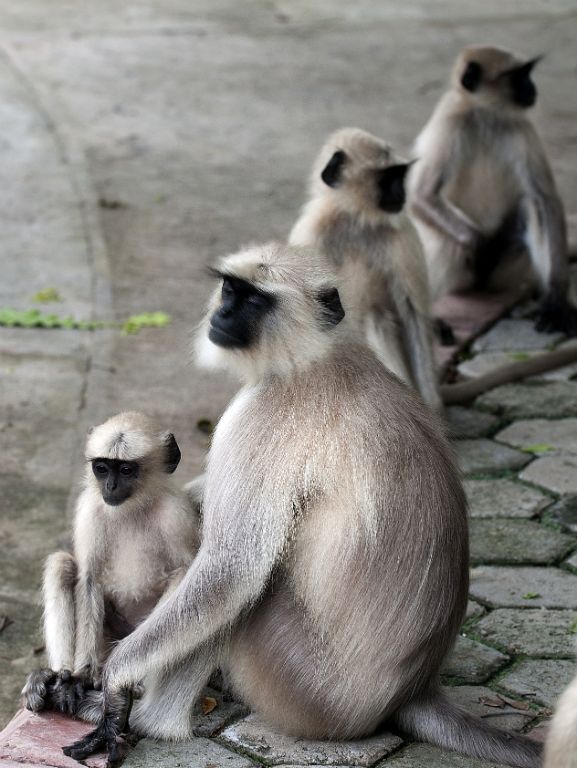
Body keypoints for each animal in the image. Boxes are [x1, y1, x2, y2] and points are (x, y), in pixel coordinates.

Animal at [22, 414, 199, 720]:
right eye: (102, 469)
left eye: (126, 470)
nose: (110, 487)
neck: (132, 508)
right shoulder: (90, 508)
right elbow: (89, 578)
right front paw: (81, 676)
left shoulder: (175, 514)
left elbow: (184, 577)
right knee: (61, 563)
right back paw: (58, 676)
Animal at [66, 242, 540, 768]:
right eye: (230, 289)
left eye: (254, 300)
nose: (222, 314)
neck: (314, 355)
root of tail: (413, 689)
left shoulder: (263, 415)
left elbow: (232, 569)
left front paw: (114, 680)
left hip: (305, 690)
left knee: (242, 591)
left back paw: (150, 719)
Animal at [288, 130, 440, 414]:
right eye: (388, 179)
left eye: (400, 176)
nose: (402, 192)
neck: (356, 219)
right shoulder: (311, 232)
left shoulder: (400, 235)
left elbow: (413, 315)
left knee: (378, 318)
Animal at [408, 44, 576, 336]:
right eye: (519, 77)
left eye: (527, 74)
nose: (531, 88)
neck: (487, 114)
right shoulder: (450, 121)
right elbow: (421, 195)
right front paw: (481, 246)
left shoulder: (522, 128)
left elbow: (546, 199)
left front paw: (557, 299)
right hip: (463, 280)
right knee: (451, 242)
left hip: (509, 271)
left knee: (530, 206)